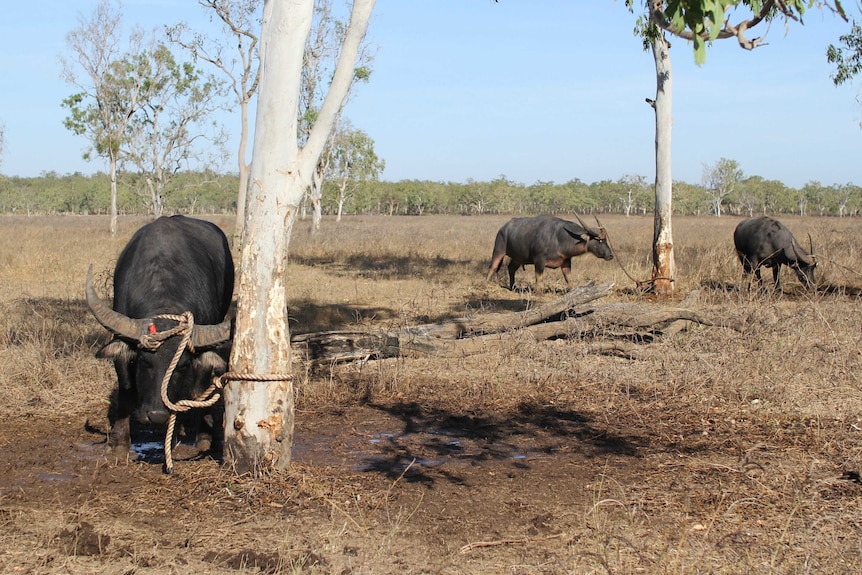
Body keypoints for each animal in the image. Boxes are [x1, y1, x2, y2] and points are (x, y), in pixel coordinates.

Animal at [86, 216, 235, 460]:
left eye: (182, 367)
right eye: (145, 362)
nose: (156, 415)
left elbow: (198, 391)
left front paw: (204, 438)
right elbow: (126, 390)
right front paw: (119, 442)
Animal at [486, 215, 616, 294]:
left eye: (605, 240)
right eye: (600, 240)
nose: (610, 255)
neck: (559, 238)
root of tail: (503, 228)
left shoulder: (566, 262)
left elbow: (569, 279)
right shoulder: (539, 261)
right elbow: (539, 278)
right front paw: (539, 293)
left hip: (518, 258)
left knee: (511, 268)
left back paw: (513, 287)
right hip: (498, 250)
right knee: (492, 267)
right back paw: (486, 283)